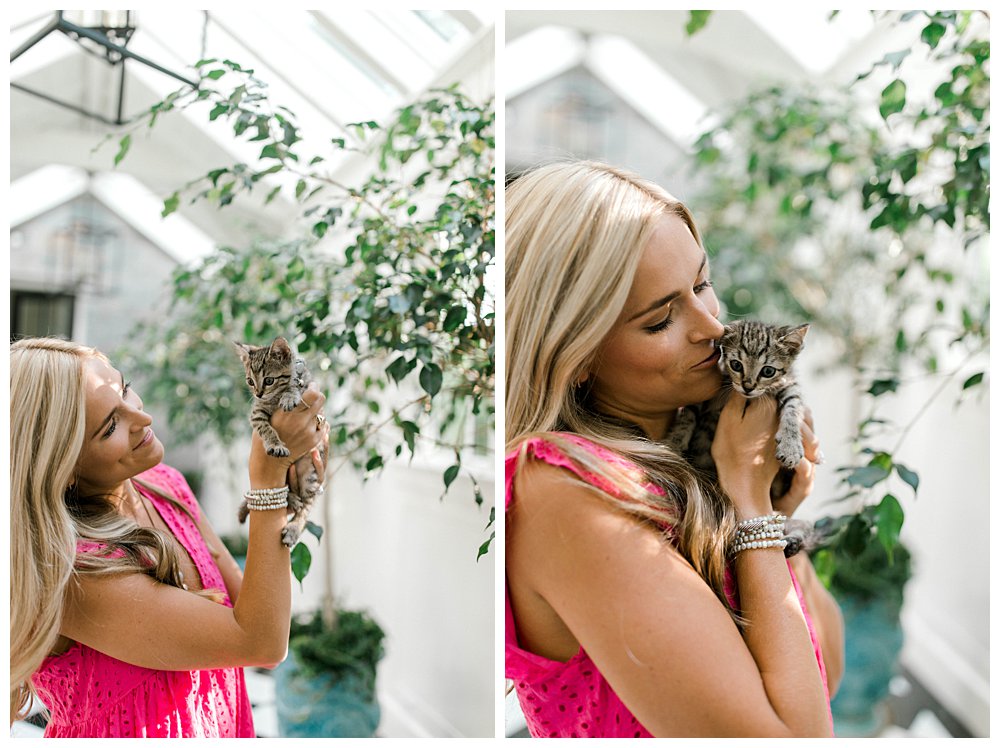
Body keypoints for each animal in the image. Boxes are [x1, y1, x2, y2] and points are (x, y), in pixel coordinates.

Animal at [234, 336, 328, 548]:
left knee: (306, 507)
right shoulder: (257, 412)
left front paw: (290, 395)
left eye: (269, 380)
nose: (258, 393)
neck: (273, 396)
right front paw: (275, 445)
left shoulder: (308, 388)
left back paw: (293, 528)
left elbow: (296, 386)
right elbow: (266, 428)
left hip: (309, 473)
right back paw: (291, 499)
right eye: (250, 381)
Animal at [668, 320, 808, 556]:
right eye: (736, 365)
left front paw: (790, 446)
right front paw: (675, 440)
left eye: (768, 371)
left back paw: (792, 541)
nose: (748, 387)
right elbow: (688, 413)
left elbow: (793, 407)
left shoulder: (789, 384)